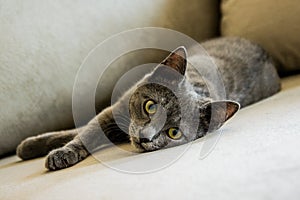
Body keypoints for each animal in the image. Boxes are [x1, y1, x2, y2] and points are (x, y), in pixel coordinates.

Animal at [16, 37, 280, 170]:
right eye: (150, 106)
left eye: (174, 133)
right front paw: (36, 147)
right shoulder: (112, 111)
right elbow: (84, 132)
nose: (145, 138)